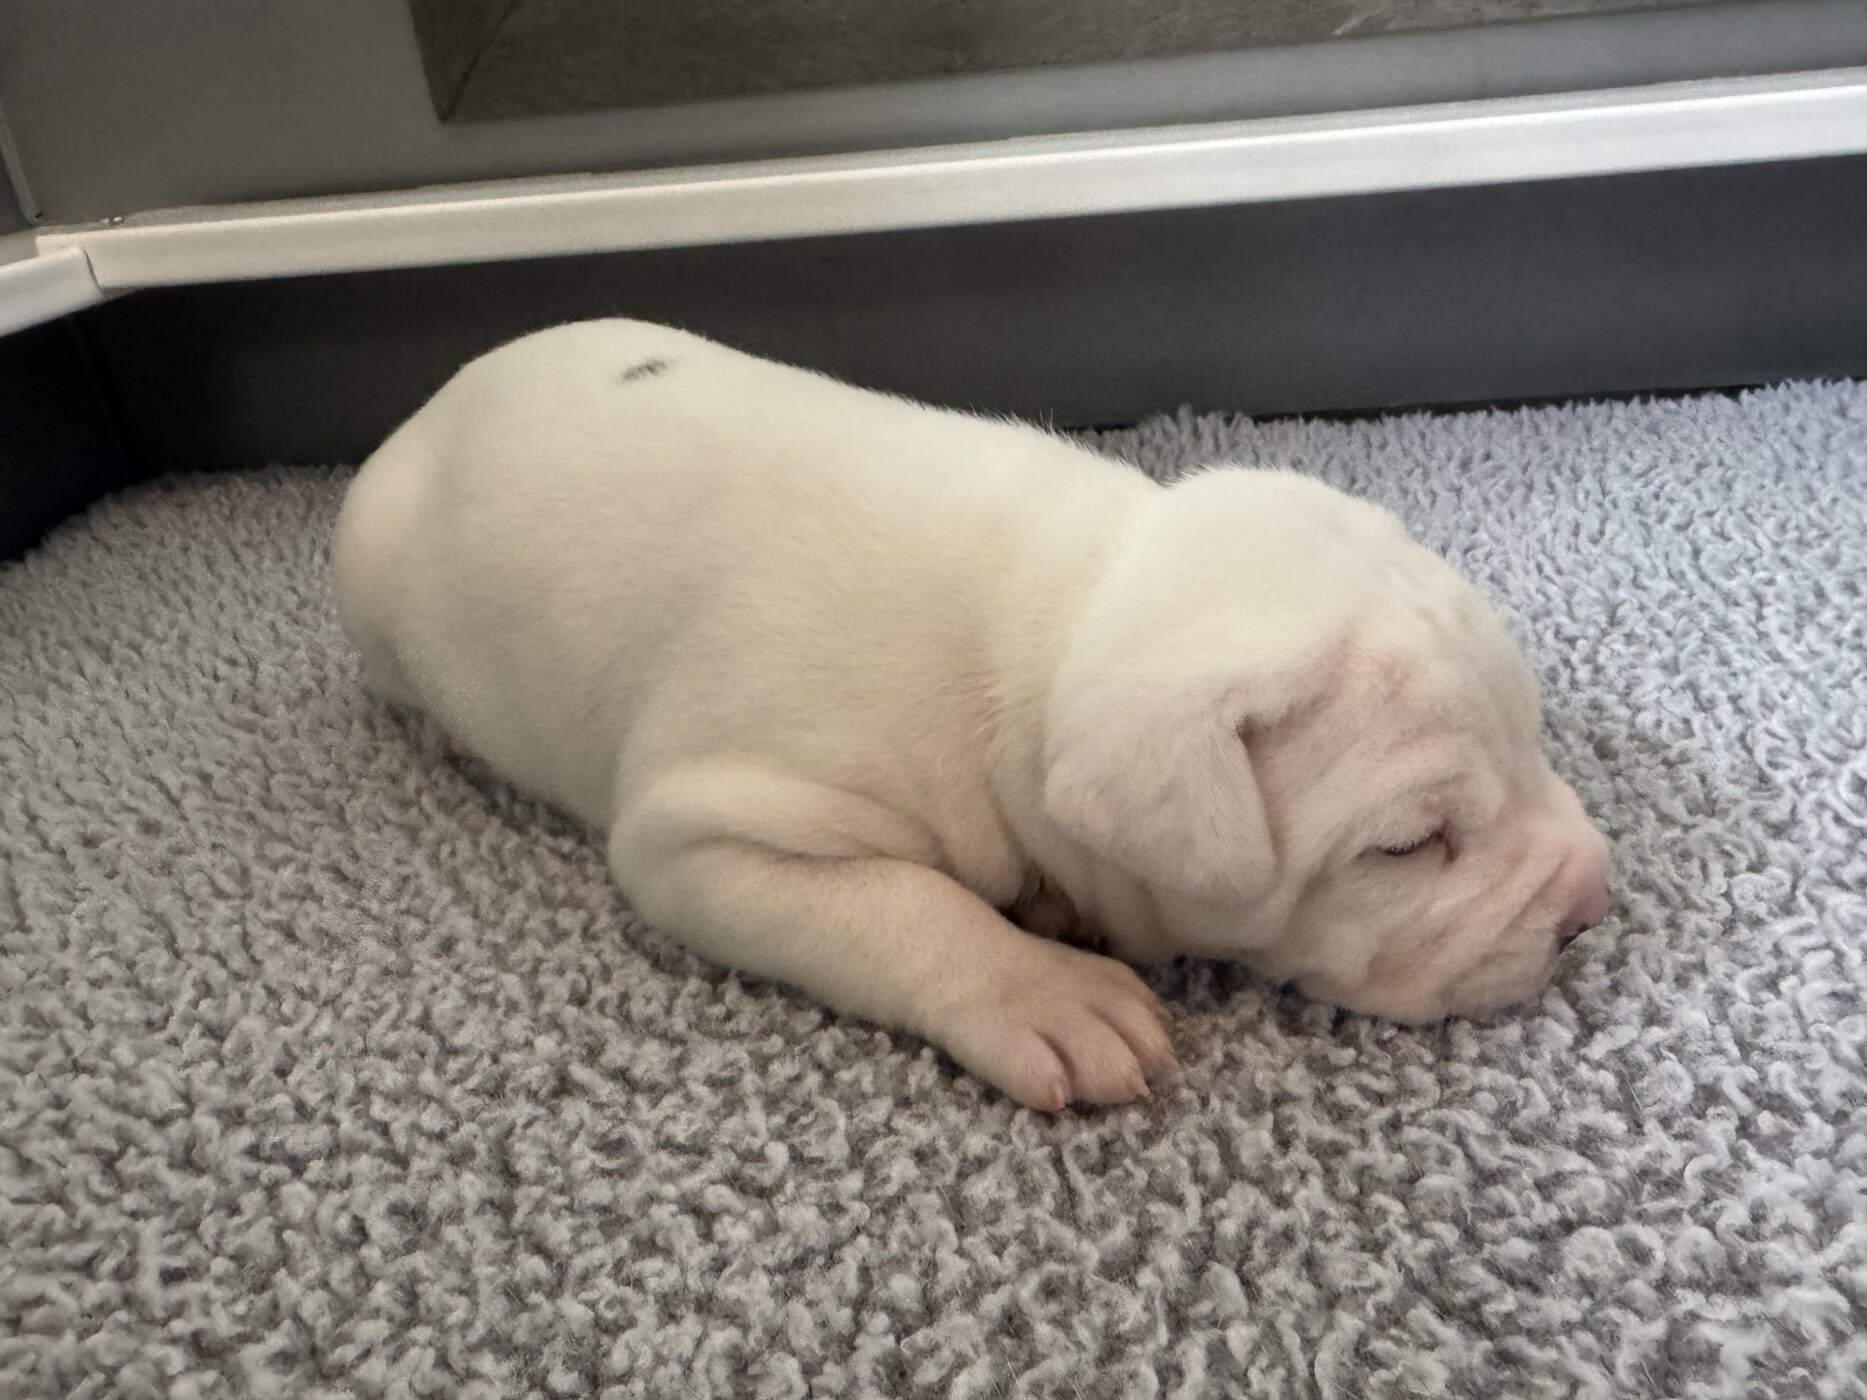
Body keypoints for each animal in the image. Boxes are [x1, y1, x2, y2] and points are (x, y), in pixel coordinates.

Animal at [332, 319, 1612, 1109]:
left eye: (1533, 733)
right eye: (1407, 844)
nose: (1589, 907)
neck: (1059, 602)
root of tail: (438, 399)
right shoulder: (709, 833)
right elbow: (908, 908)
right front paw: (1046, 990)